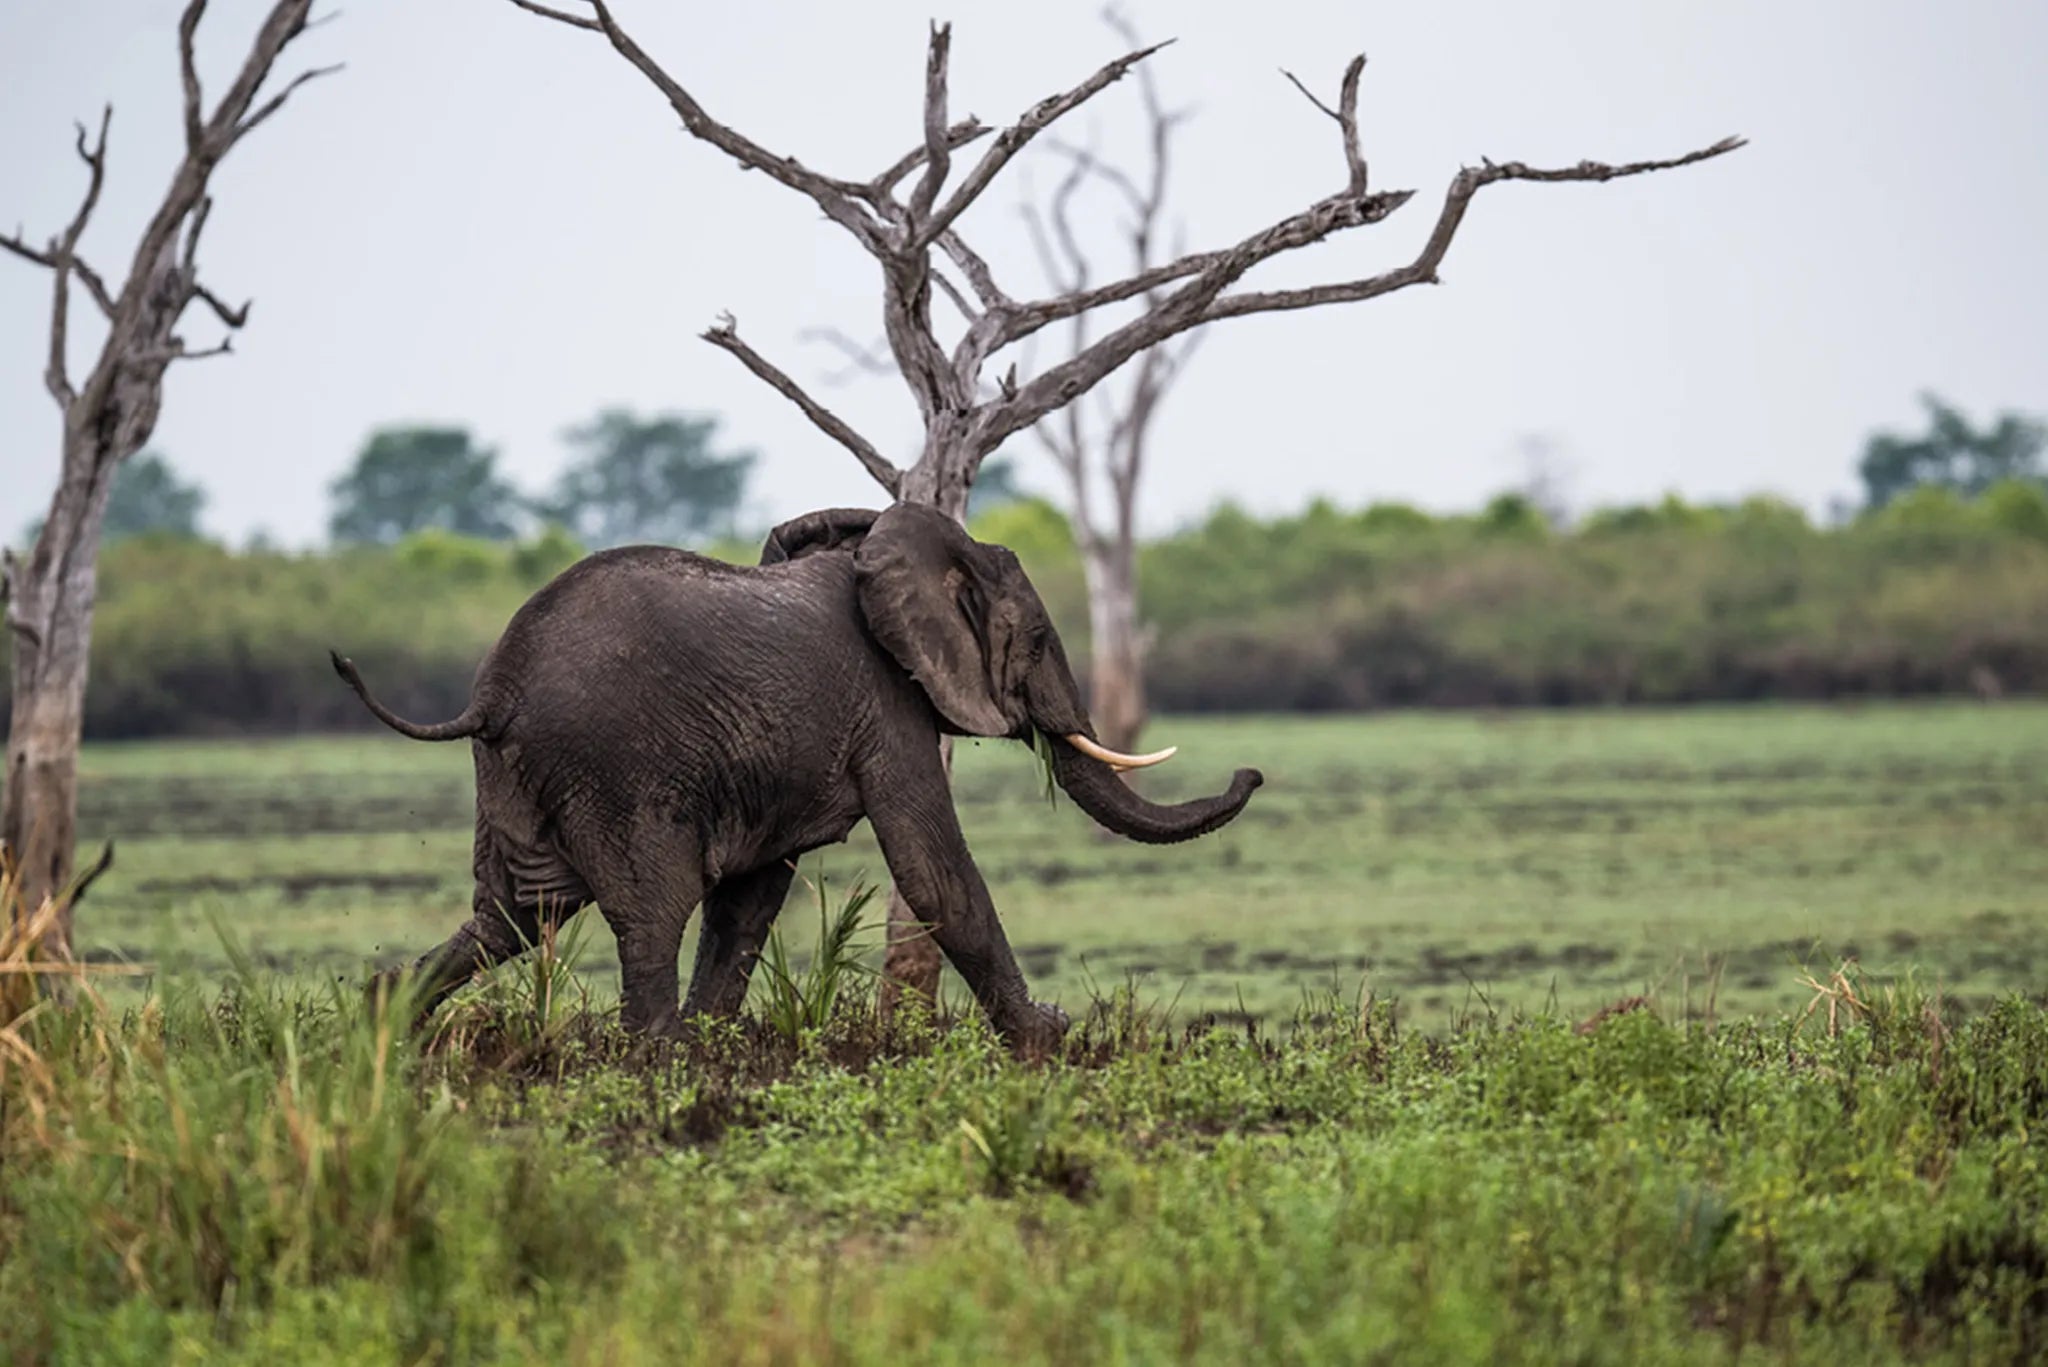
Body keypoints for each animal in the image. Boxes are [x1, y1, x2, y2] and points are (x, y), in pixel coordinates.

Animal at [329, 502, 1263, 1053]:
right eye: (1034, 639)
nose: (1251, 768)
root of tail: (491, 695)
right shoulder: (888, 702)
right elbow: (934, 871)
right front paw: (1048, 1039)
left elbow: (751, 898)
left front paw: (718, 1042)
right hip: (614, 773)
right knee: (646, 909)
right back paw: (655, 1059)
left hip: (518, 779)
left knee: (516, 914)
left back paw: (383, 1021)